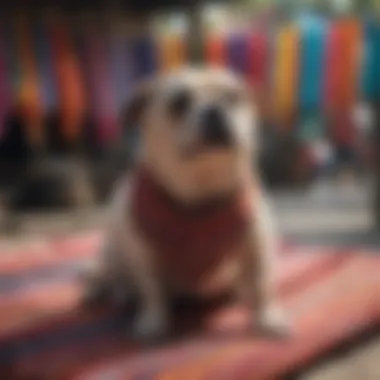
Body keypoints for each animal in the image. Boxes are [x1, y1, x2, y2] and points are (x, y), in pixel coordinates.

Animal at [85, 67, 288, 340]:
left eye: (234, 97)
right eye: (179, 104)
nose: (215, 109)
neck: (200, 194)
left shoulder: (255, 246)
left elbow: (261, 284)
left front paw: (267, 319)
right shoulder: (146, 256)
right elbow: (153, 291)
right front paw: (153, 322)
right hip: (113, 254)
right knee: (115, 278)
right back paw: (120, 292)